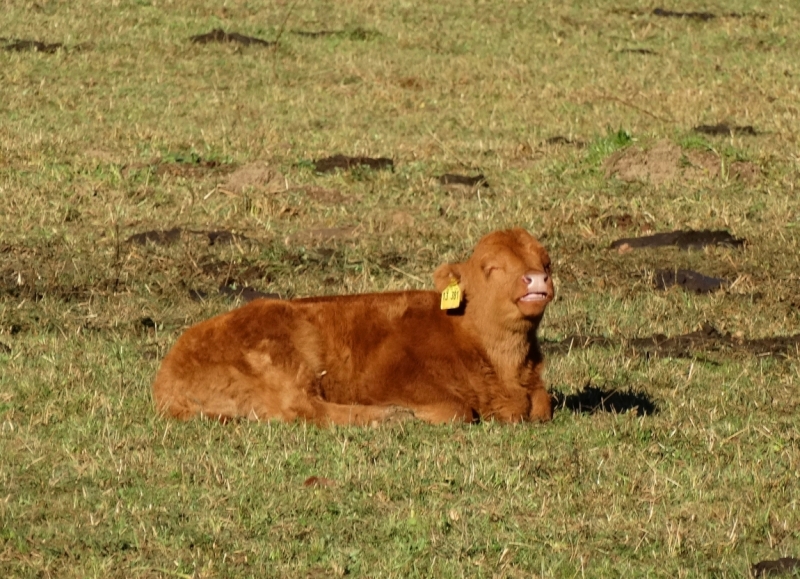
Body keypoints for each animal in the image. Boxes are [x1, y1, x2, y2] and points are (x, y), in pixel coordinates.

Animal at [155, 228, 556, 426]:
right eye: (491, 267)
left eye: (546, 261)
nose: (536, 279)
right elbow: (455, 410)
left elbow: (543, 405)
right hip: (284, 355)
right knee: (305, 409)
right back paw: (391, 417)